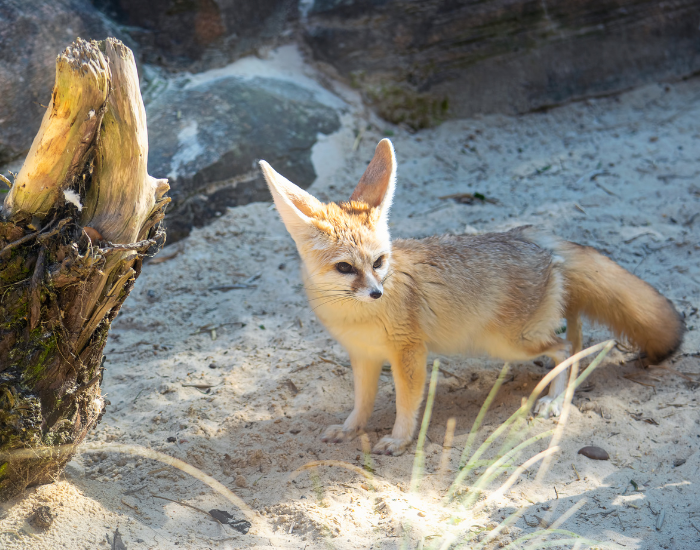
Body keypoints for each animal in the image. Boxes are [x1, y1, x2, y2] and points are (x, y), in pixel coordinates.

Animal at [259, 138, 685, 456]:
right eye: (345, 268)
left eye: (379, 262)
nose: (376, 292)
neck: (355, 316)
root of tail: (532, 236)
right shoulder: (363, 357)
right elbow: (361, 403)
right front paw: (350, 429)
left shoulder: (409, 353)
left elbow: (406, 403)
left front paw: (399, 439)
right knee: (574, 340)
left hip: (508, 343)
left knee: (567, 347)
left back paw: (554, 400)